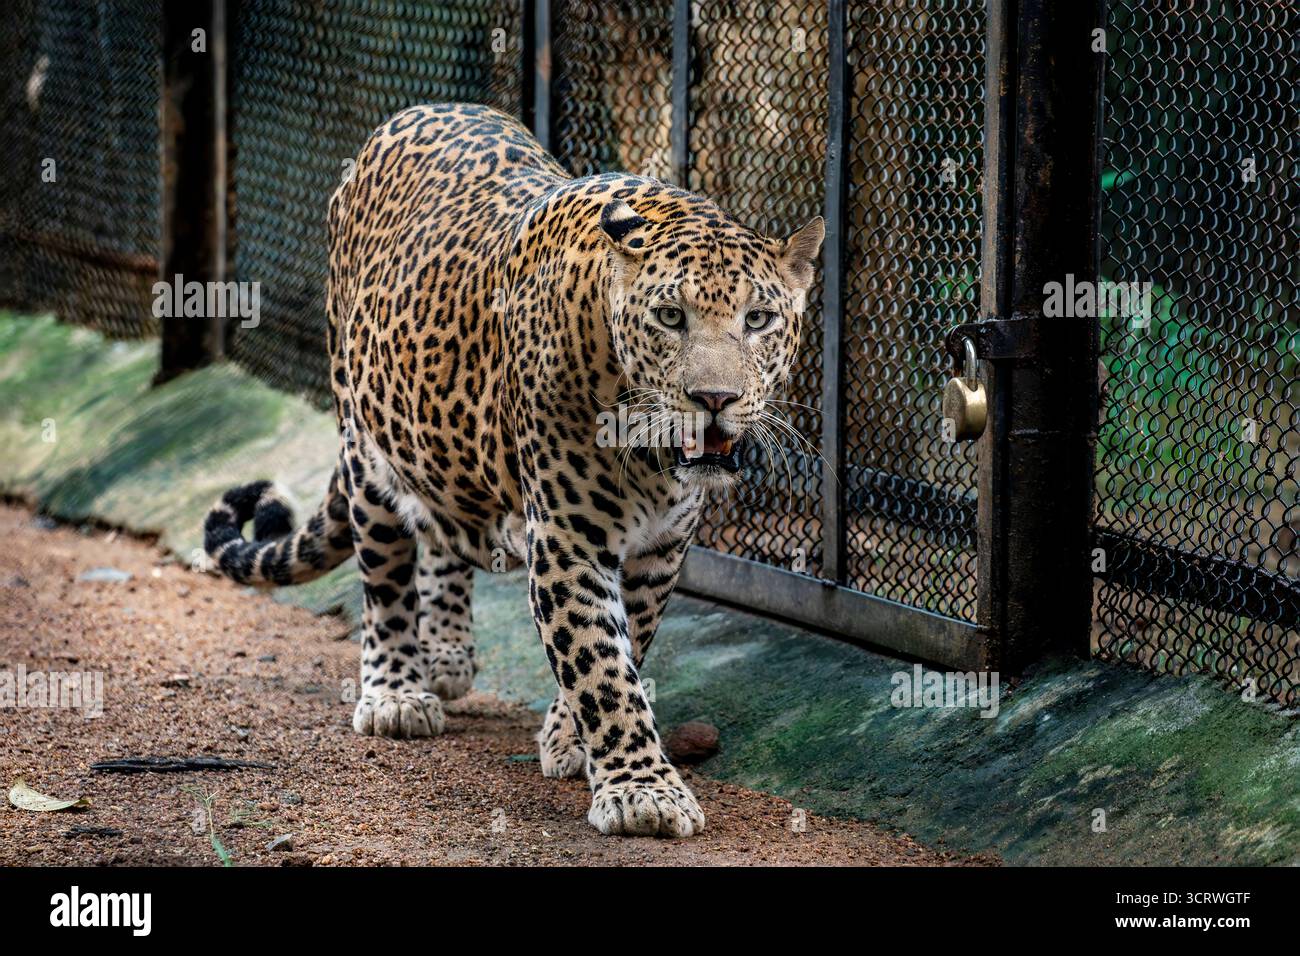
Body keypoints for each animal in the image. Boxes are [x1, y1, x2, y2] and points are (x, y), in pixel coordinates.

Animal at [202, 103, 823, 838]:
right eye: (671, 317)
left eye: (759, 319)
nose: (715, 399)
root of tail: (420, 110)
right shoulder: (567, 540)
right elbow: (600, 667)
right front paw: (641, 790)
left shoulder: (662, 551)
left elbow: (626, 647)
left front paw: (569, 738)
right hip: (366, 444)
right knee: (384, 575)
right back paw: (396, 690)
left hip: (439, 441)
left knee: (444, 526)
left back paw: (445, 651)